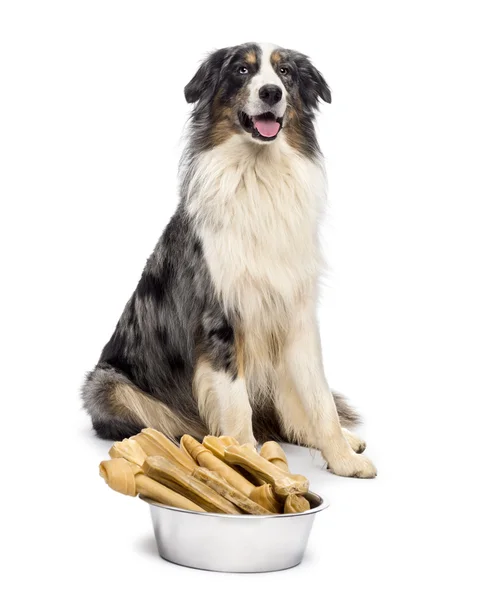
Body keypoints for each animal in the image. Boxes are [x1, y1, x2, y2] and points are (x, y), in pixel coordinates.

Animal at [84, 42, 376, 478]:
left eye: (286, 73)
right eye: (242, 70)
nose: (272, 92)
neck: (259, 175)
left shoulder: (297, 314)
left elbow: (319, 398)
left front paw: (341, 458)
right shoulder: (220, 318)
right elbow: (237, 407)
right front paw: (247, 462)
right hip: (106, 385)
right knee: (174, 422)